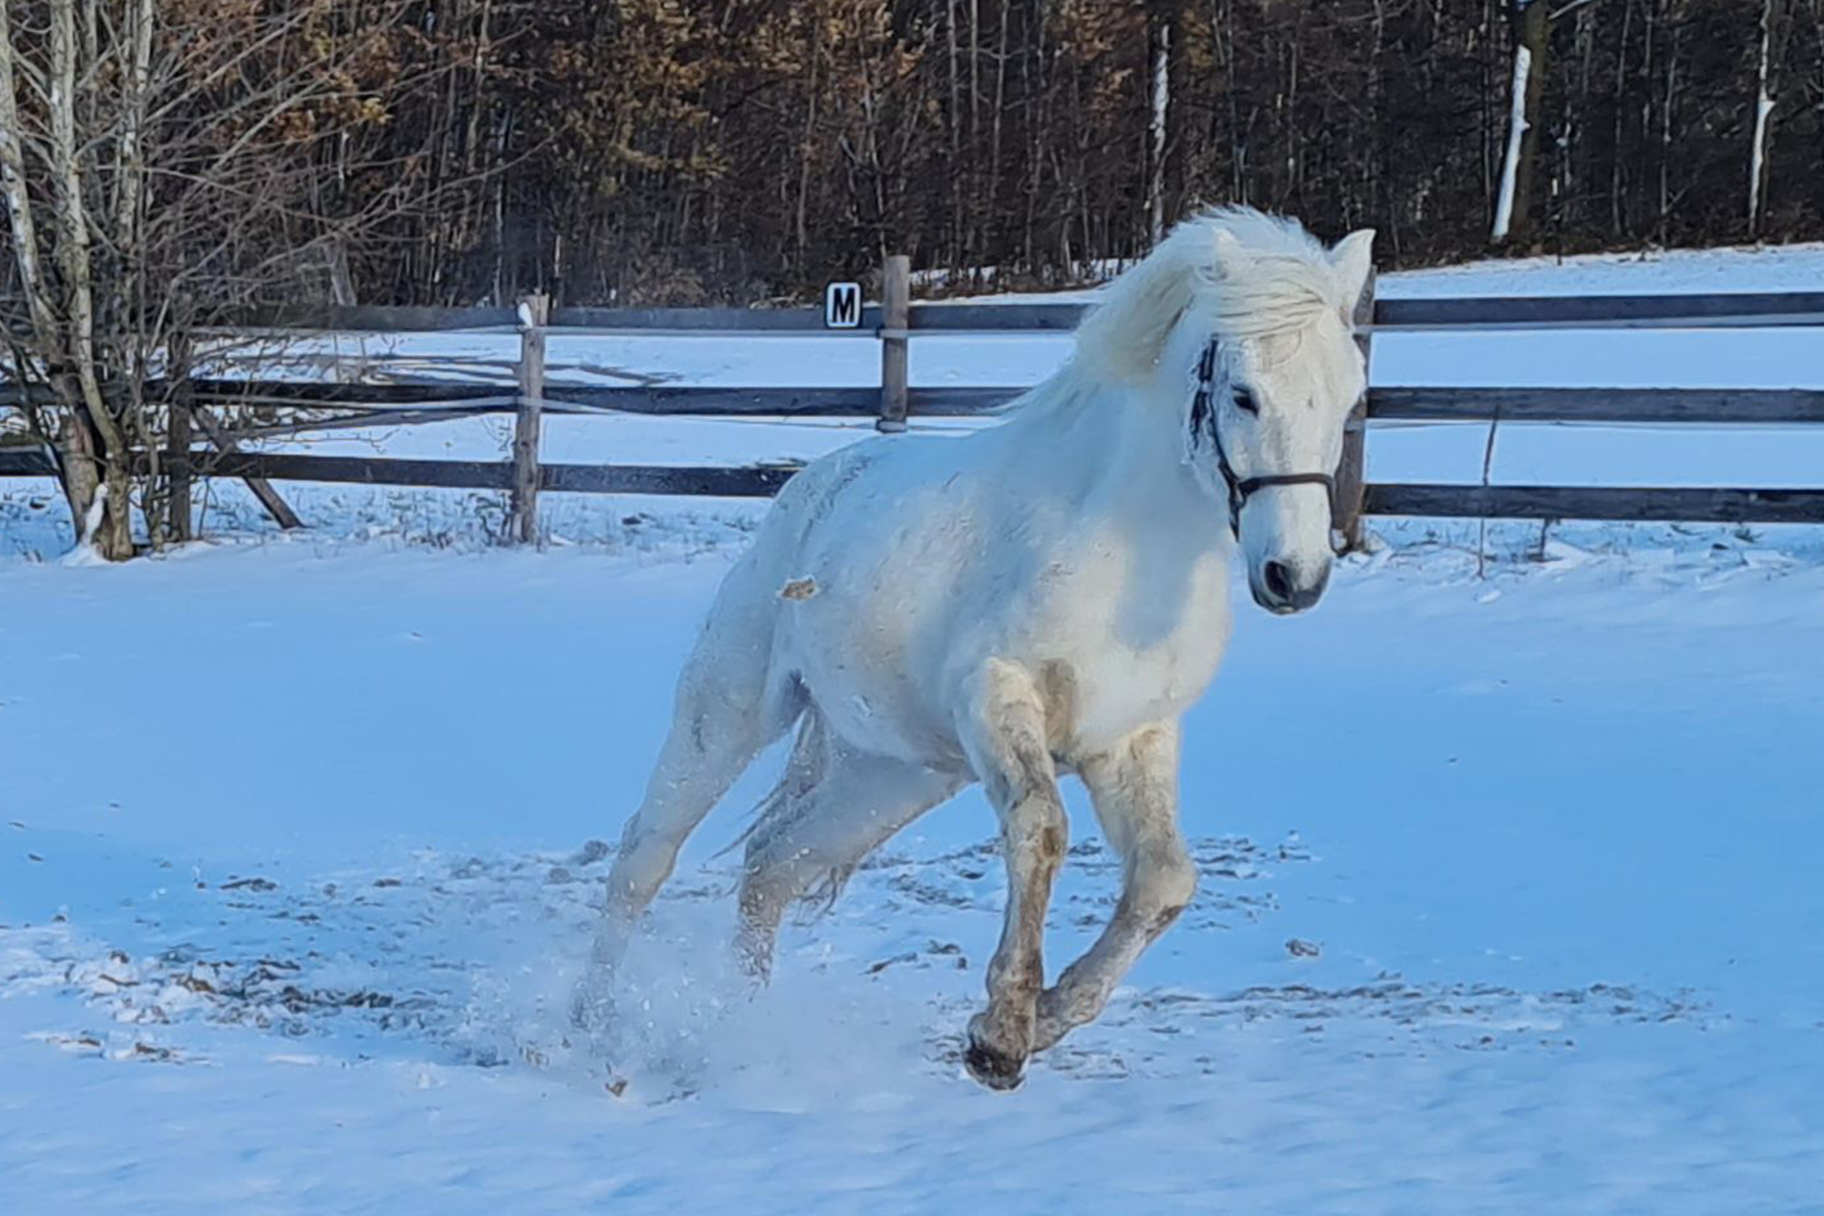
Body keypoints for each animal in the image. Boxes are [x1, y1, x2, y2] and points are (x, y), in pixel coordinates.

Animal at [580, 209, 1371, 1093]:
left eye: (1350, 398)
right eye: (1244, 394)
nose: (1294, 576)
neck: (1124, 546)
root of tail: (812, 486)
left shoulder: (1132, 738)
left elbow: (1166, 880)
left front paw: (1048, 1019)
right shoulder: (998, 697)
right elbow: (1042, 829)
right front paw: (1000, 1036)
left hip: (895, 772)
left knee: (772, 866)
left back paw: (738, 1024)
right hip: (730, 711)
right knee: (646, 855)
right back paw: (584, 1027)